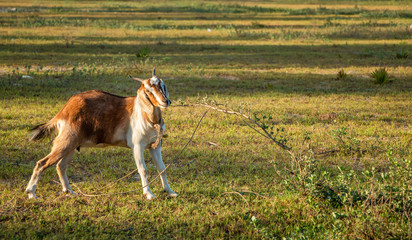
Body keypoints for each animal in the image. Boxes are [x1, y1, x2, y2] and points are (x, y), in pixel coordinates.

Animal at [25, 68, 177, 200]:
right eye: (148, 90)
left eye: (163, 85)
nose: (165, 101)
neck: (147, 116)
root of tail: (65, 110)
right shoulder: (137, 146)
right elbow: (143, 170)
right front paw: (149, 194)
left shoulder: (155, 146)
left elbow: (162, 168)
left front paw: (169, 191)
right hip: (65, 142)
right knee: (42, 163)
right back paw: (31, 193)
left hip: (71, 146)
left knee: (60, 166)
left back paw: (69, 191)